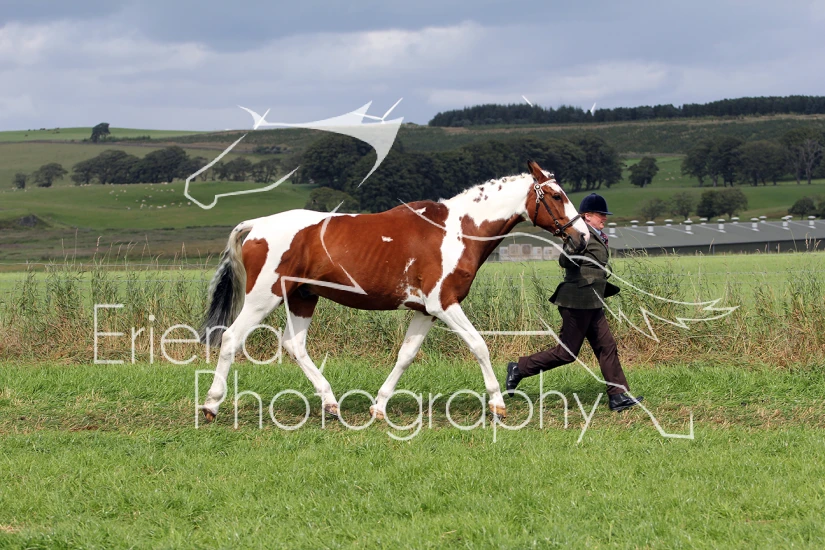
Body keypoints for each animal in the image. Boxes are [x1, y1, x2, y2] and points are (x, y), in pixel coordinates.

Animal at [199, 160, 589, 422]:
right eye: (557, 195)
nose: (582, 236)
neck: (457, 230)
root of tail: (256, 225)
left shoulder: (425, 311)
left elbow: (406, 355)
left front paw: (379, 406)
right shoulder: (444, 303)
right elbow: (479, 345)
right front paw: (498, 405)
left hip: (302, 298)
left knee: (294, 345)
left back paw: (331, 404)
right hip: (265, 297)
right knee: (231, 338)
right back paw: (211, 405)